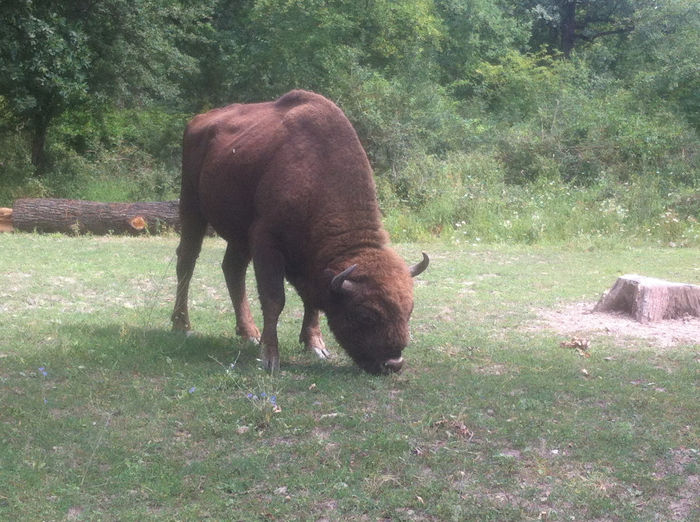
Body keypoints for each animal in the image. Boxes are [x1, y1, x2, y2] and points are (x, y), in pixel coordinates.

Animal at [172, 90, 430, 374]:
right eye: (365, 314)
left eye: (409, 310)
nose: (393, 363)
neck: (319, 170)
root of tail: (198, 120)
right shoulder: (266, 242)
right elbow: (274, 299)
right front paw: (270, 357)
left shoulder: (309, 263)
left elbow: (311, 300)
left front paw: (316, 346)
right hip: (192, 208)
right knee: (187, 261)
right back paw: (182, 326)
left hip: (238, 234)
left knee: (232, 270)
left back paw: (249, 333)